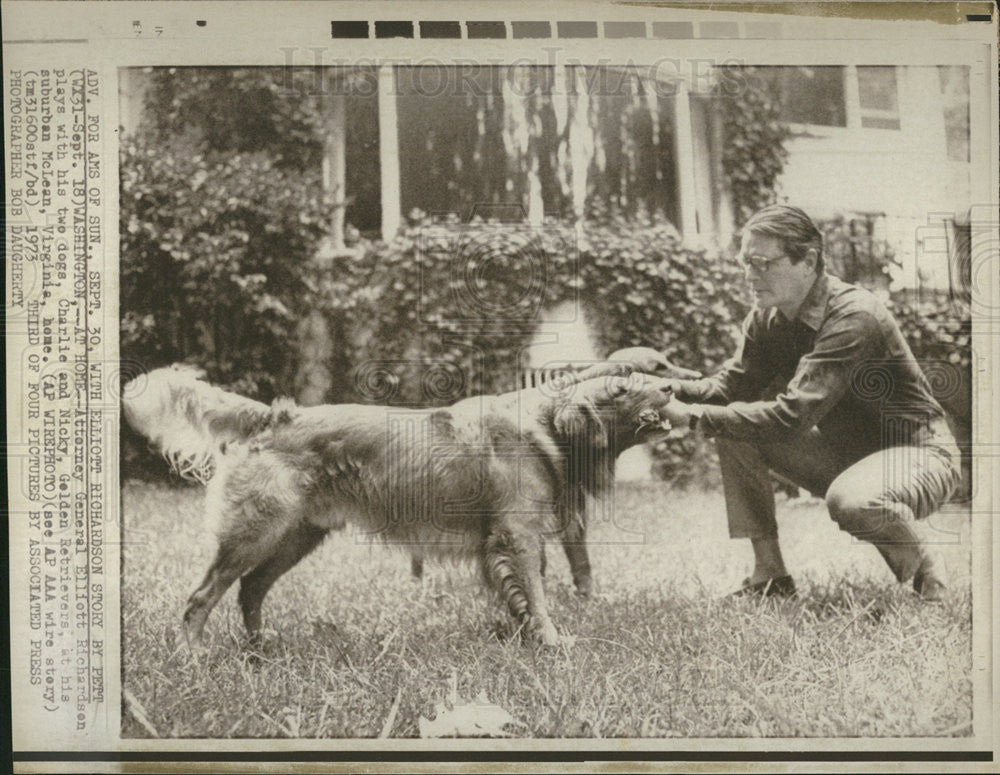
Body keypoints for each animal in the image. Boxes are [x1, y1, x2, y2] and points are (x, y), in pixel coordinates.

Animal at [121, 354, 692, 648]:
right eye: (624, 387)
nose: (671, 386)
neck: (545, 425)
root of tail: (276, 415)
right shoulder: (519, 535)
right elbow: (535, 592)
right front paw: (551, 641)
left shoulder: (506, 541)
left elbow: (519, 594)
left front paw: (521, 633)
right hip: (254, 533)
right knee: (202, 596)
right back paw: (193, 653)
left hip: (295, 536)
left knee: (250, 589)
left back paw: (261, 646)